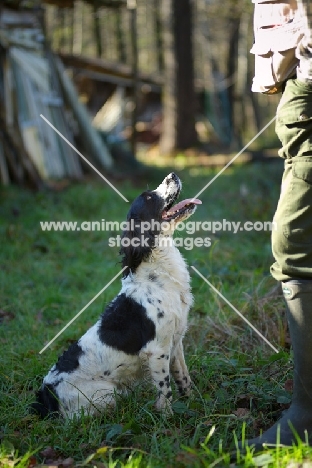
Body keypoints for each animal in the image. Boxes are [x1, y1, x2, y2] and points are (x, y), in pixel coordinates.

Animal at [32, 174, 202, 418]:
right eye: (148, 197)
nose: (172, 175)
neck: (157, 274)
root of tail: (46, 396)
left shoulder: (175, 342)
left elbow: (184, 378)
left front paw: (195, 405)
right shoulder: (158, 350)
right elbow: (165, 390)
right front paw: (168, 419)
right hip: (108, 395)